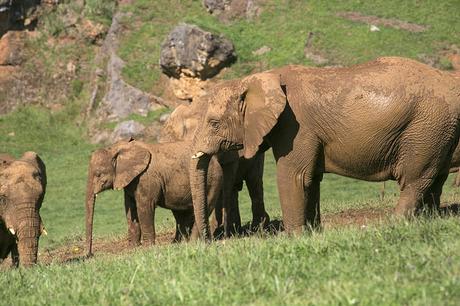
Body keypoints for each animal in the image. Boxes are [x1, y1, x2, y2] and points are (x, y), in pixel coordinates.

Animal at [87, 137, 224, 255]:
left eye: (99, 174)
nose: (90, 255)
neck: (119, 149)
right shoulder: (131, 181)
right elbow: (130, 210)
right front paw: (133, 248)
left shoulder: (146, 178)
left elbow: (144, 207)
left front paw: (147, 248)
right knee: (181, 214)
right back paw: (177, 243)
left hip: (213, 180)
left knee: (204, 206)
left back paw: (193, 242)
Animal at [189, 58, 460, 239]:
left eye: (213, 123)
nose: (209, 240)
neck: (261, 79)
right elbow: (311, 179)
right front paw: (313, 233)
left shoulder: (296, 125)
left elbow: (294, 176)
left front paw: (294, 239)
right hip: (438, 132)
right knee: (434, 179)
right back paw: (428, 220)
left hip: (426, 127)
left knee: (414, 179)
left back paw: (394, 225)